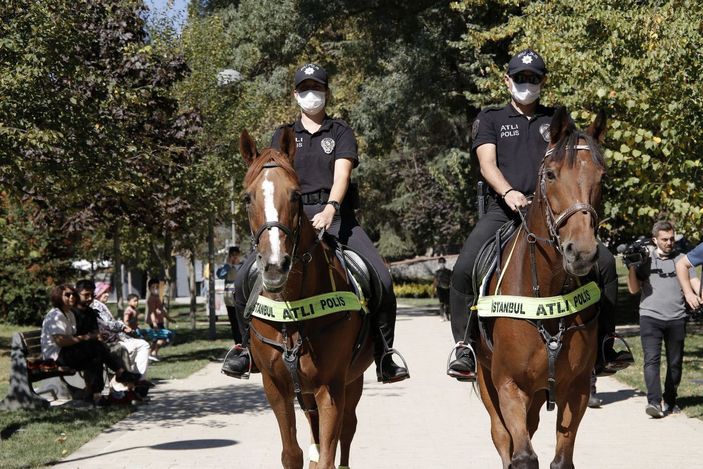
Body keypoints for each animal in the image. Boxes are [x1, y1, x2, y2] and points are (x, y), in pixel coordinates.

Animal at [241, 128, 374, 468]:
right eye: (247, 198)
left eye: (296, 196)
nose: (275, 265)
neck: (292, 312)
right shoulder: (276, 387)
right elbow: (292, 453)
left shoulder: (332, 387)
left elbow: (329, 452)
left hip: (350, 383)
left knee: (347, 430)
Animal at [478, 107, 612, 468]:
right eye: (551, 174)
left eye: (602, 177)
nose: (581, 253)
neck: (548, 292)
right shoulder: (508, 385)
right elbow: (522, 455)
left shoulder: (576, 389)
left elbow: (561, 459)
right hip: (486, 379)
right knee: (501, 438)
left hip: (539, 394)